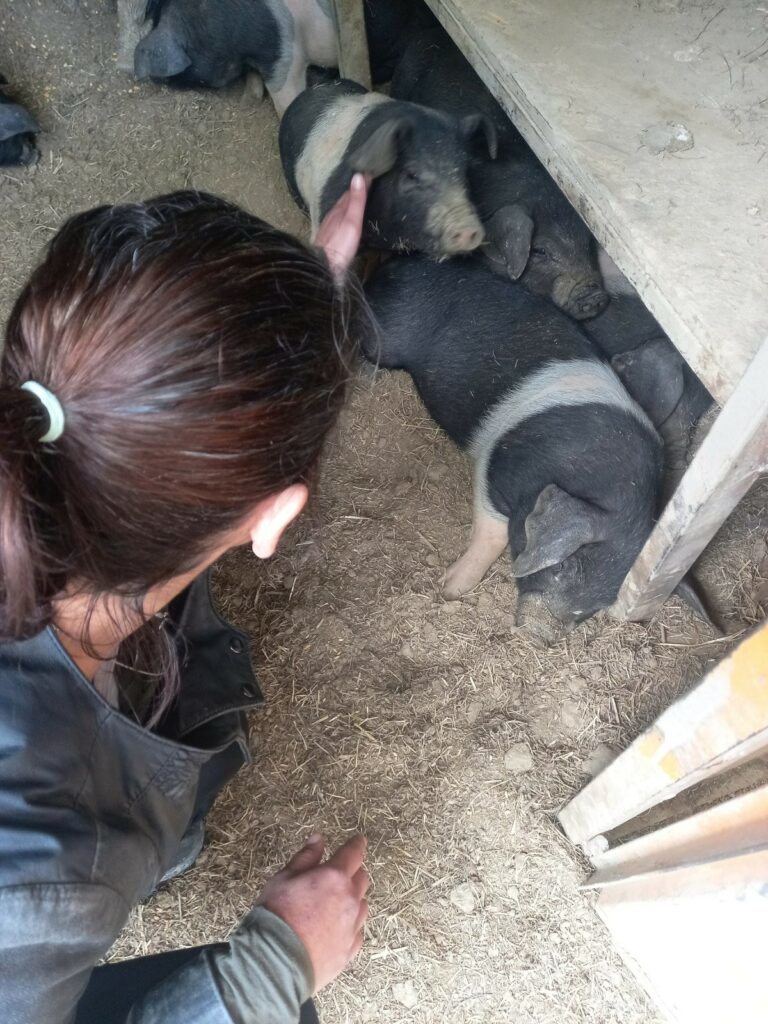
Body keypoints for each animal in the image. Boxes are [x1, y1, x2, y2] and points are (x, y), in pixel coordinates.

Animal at [364, 256, 663, 638]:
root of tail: (399, 263)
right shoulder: (495, 468)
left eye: (600, 603)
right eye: (562, 567)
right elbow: (491, 533)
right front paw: (449, 590)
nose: (540, 636)